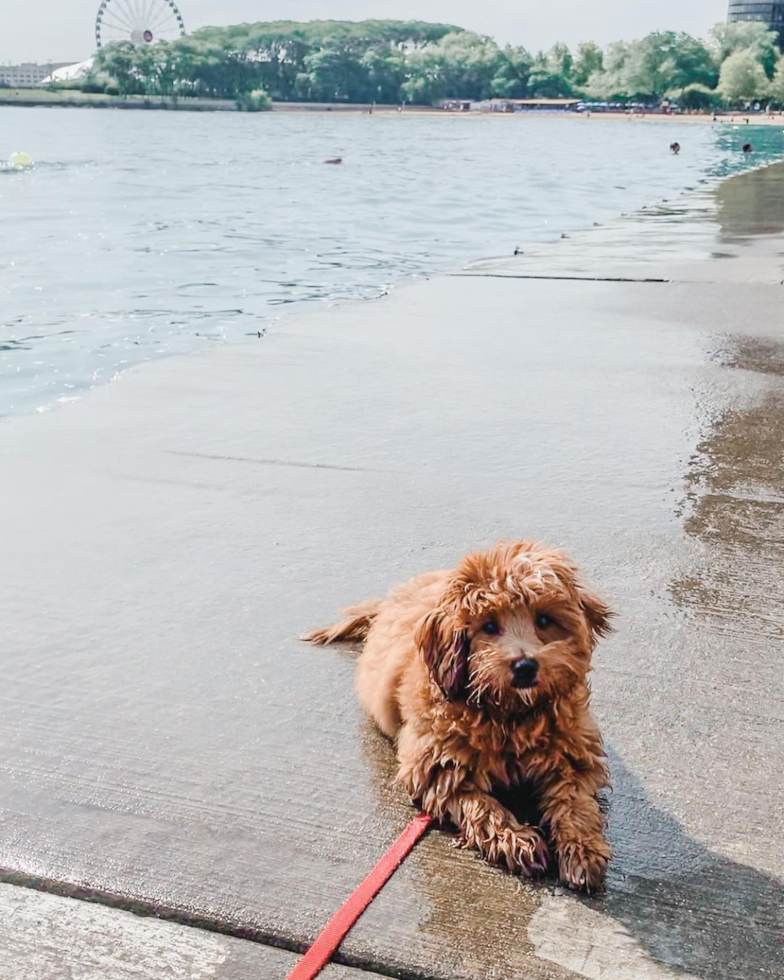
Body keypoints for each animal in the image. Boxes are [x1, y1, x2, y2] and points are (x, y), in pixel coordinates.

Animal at [304, 540, 616, 892]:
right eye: (489, 626)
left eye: (545, 620)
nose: (525, 666)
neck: (510, 717)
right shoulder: (433, 767)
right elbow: (480, 806)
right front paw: (516, 840)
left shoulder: (574, 753)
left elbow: (575, 801)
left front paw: (582, 850)